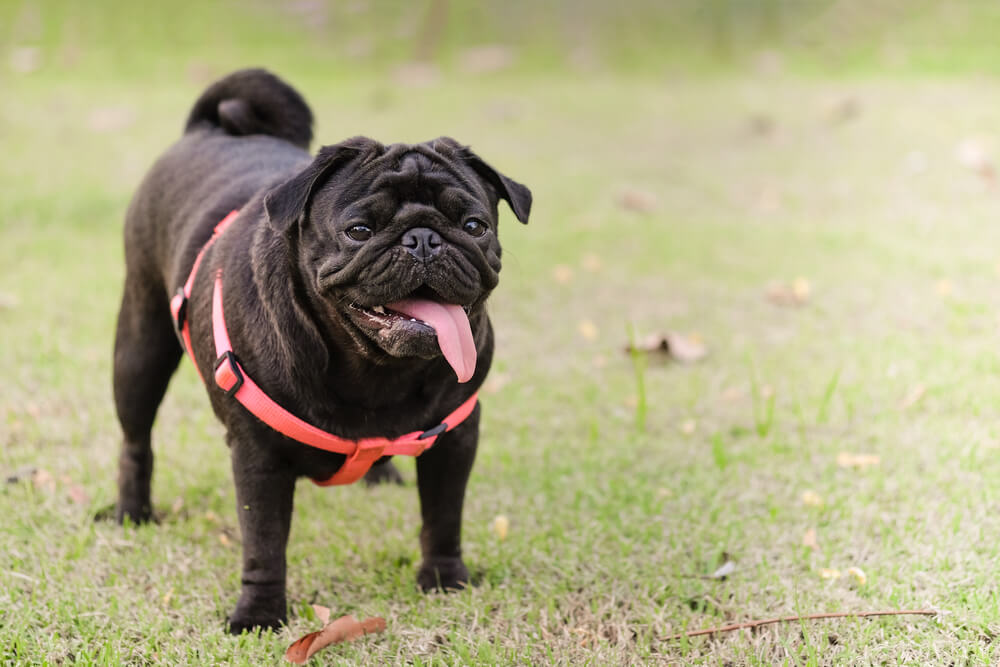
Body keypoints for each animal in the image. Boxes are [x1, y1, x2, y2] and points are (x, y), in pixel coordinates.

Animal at [112, 70, 532, 636]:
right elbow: (264, 544)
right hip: (140, 348)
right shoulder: (258, 457)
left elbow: (444, 517)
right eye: (359, 231)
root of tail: (213, 127)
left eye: (474, 226)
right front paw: (259, 614)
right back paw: (130, 513)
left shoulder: (456, 436)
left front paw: (445, 580)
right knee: (136, 439)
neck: (375, 370)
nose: (423, 239)